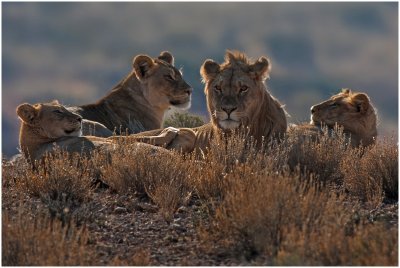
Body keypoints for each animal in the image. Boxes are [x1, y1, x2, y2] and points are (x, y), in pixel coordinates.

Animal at [17, 100, 179, 162]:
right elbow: (128, 138)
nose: (80, 118)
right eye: (58, 112)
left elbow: (133, 136)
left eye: (64, 108)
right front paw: (169, 131)